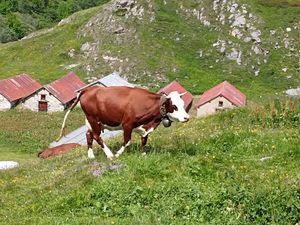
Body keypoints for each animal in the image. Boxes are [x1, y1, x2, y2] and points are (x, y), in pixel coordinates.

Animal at [56, 85, 190, 159]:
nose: (186, 117)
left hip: (91, 121)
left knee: (89, 135)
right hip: (93, 119)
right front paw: (118, 154)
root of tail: (88, 89)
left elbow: (144, 141)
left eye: (183, 104)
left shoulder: (144, 129)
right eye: (174, 106)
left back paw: (91, 156)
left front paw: (143, 155)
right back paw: (109, 155)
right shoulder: (127, 124)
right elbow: (127, 141)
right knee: (96, 136)